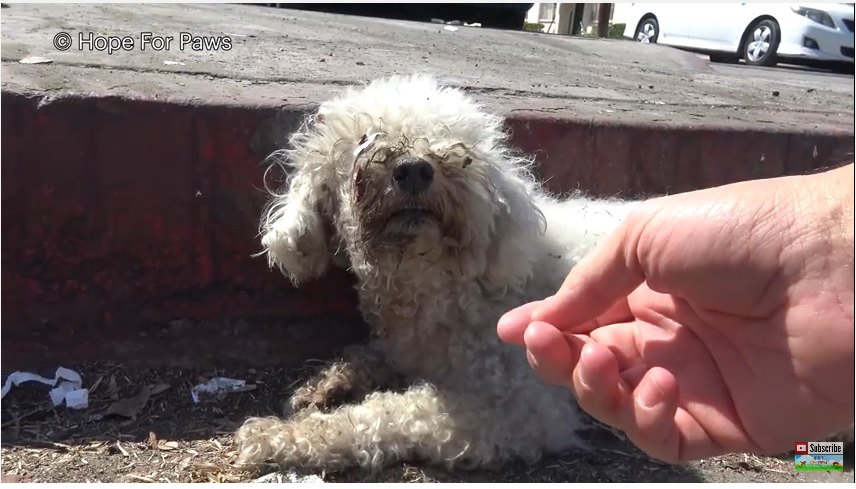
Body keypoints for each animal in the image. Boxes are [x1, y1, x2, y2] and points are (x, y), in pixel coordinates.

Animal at [237, 74, 640, 470]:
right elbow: (372, 356)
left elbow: (394, 413)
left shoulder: (520, 405)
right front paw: (328, 383)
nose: (414, 169)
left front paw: (283, 435)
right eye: (364, 138)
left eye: (453, 141)